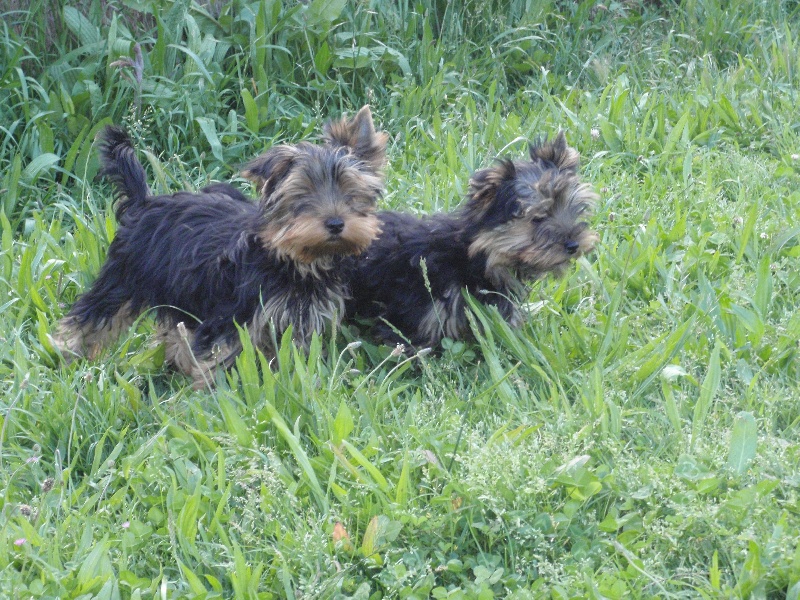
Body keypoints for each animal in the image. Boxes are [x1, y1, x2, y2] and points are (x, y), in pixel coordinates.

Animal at [53, 106, 388, 386]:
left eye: (351, 192)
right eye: (303, 195)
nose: (335, 223)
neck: (291, 259)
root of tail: (143, 203)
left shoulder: (299, 318)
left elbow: (290, 354)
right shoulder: (231, 318)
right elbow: (220, 358)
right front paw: (216, 395)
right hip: (123, 277)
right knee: (92, 316)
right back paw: (64, 354)